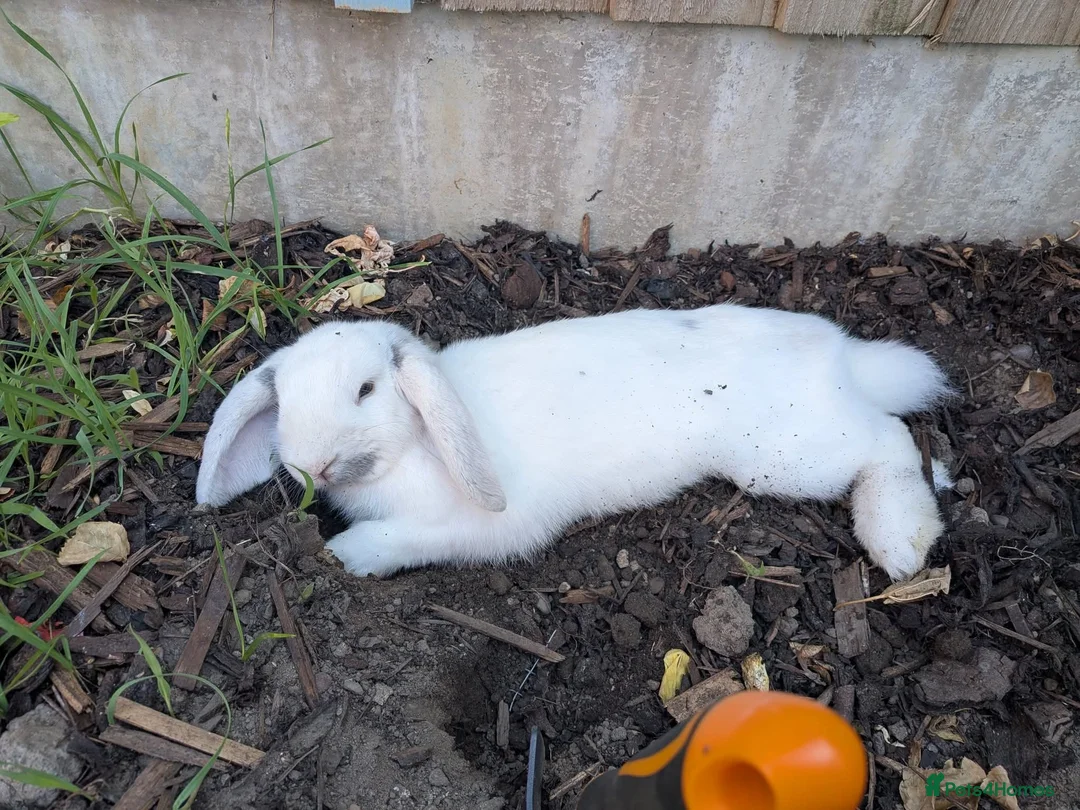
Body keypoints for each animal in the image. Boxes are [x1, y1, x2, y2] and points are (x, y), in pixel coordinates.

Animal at [195, 303, 953, 582]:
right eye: (285, 402)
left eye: (365, 390)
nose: (312, 464)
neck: (417, 445)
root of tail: (842, 356)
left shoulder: (470, 527)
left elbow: (402, 540)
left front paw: (345, 556)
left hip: (788, 455)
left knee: (890, 441)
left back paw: (901, 543)